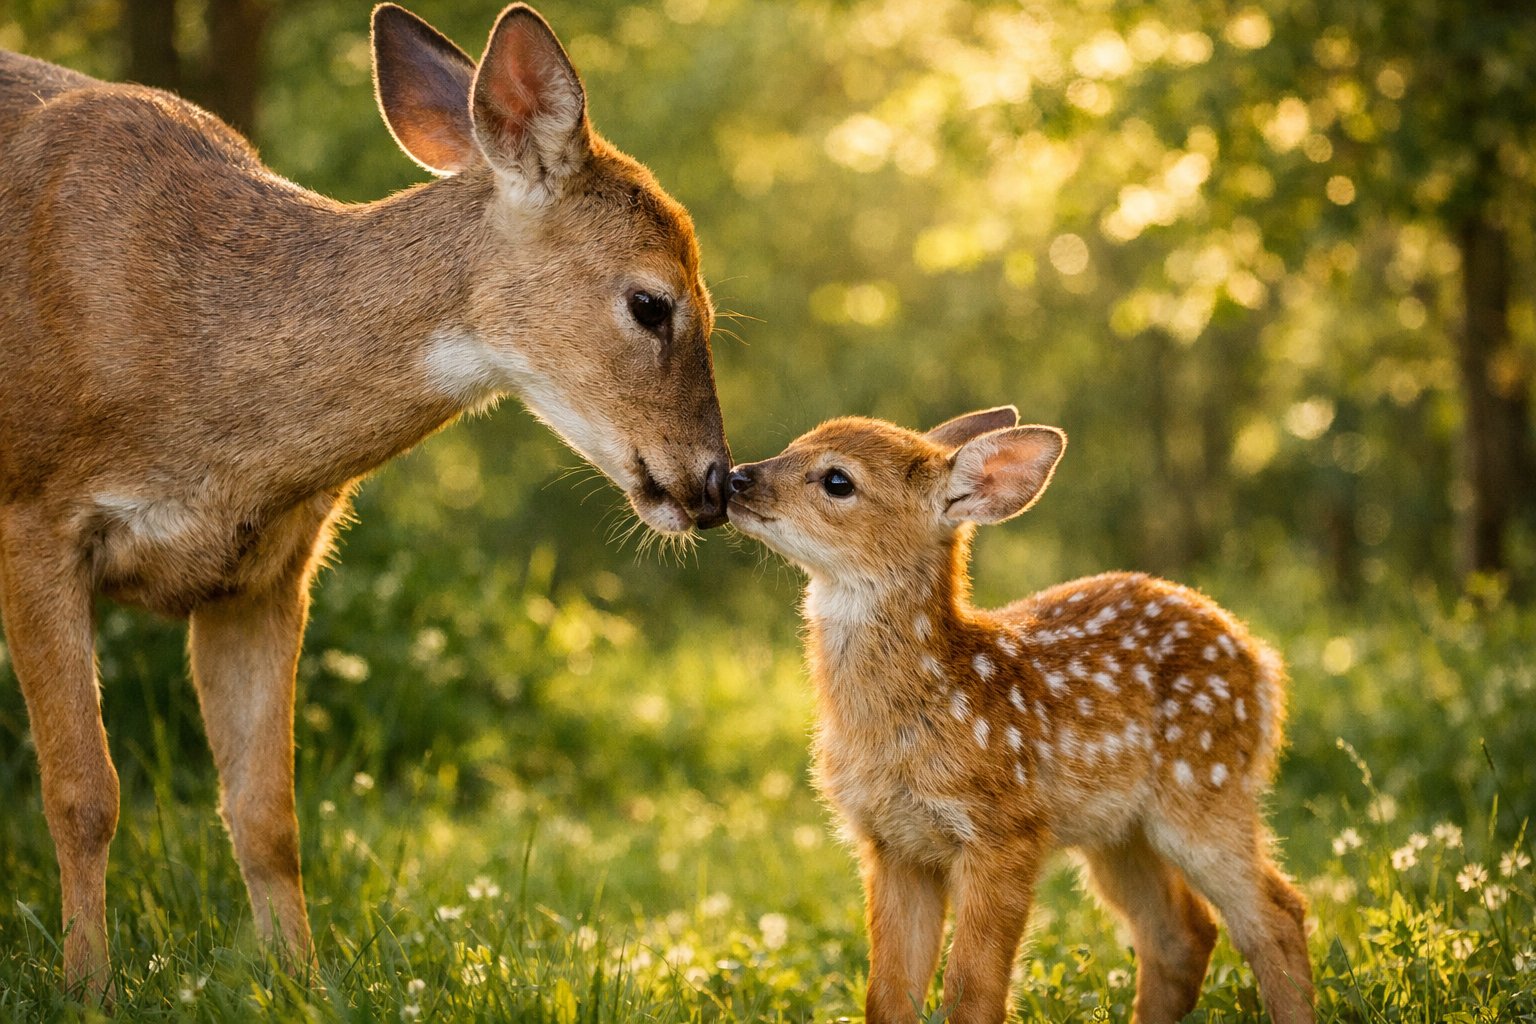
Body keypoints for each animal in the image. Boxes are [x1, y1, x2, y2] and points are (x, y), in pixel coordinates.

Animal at [0, 2, 732, 995]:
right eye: (653, 302)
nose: (714, 484)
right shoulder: (32, 515)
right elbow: (84, 793)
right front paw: (88, 988)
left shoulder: (265, 572)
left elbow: (268, 814)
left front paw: (300, 984)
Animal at [726, 408, 1313, 1024]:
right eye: (794, 444)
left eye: (838, 479)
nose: (736, 478)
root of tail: (1262, 662)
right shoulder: (892, 842)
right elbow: (887, 996)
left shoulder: (1007, 830)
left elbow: (973, 993)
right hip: (1118, 832)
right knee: (1182, 934)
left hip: (1204, 792)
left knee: (1276, 913)